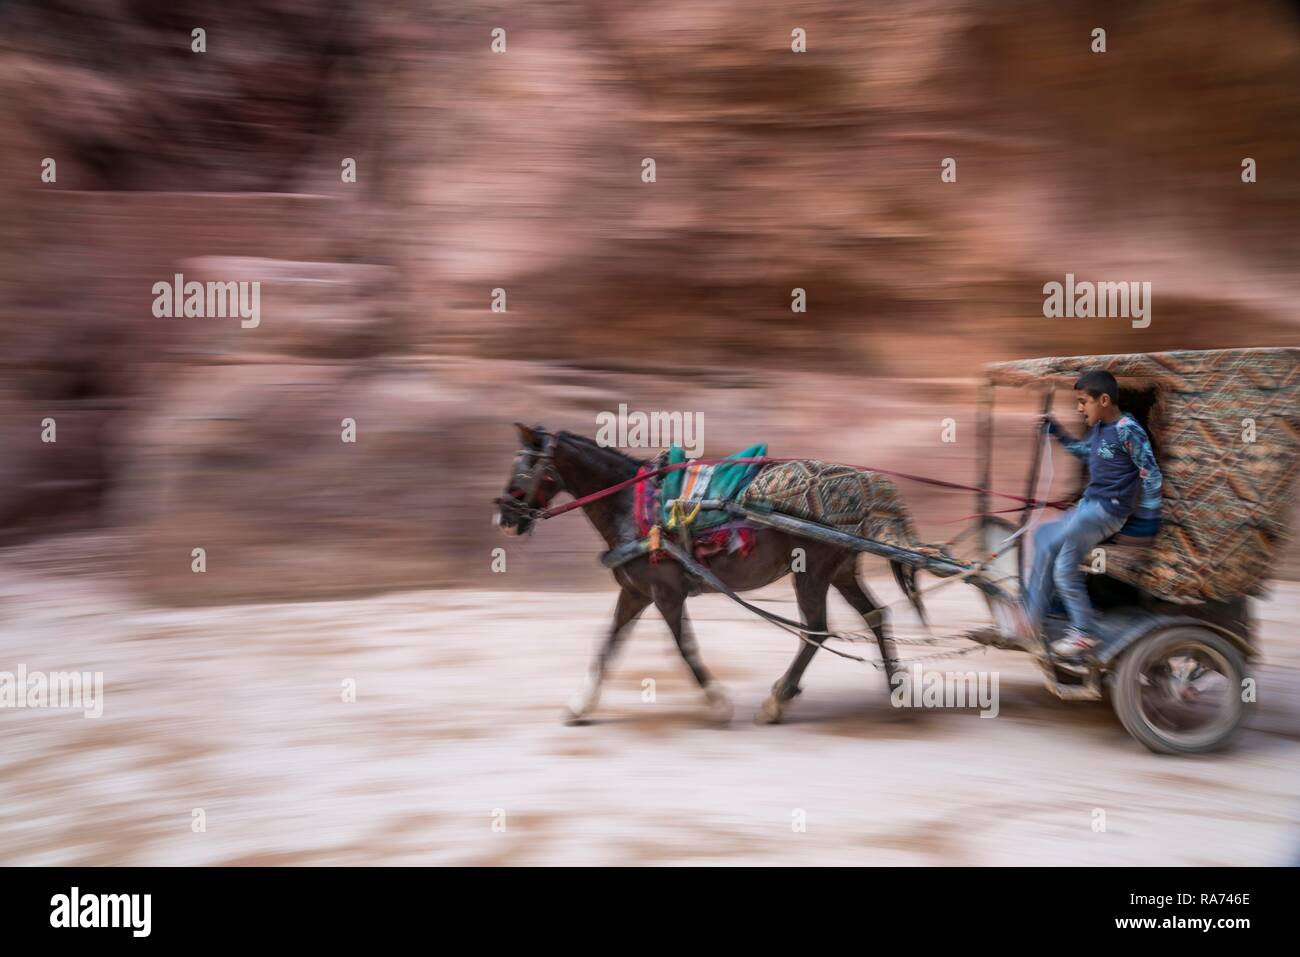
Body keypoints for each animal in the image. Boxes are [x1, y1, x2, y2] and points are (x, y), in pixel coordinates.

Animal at [491, 421, 930, 722]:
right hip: (839, 571)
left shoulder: (666, 593)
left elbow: (684, 647)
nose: (504, 517)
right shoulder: (635, 591)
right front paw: (581, 705)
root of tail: (861, 497)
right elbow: (608, 645)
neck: (633, 507)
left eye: (524, 468)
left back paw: (777, 699)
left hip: (811, 572)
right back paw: (894, 686)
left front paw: (717, 701)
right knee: (875, 615)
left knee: (817, 630)